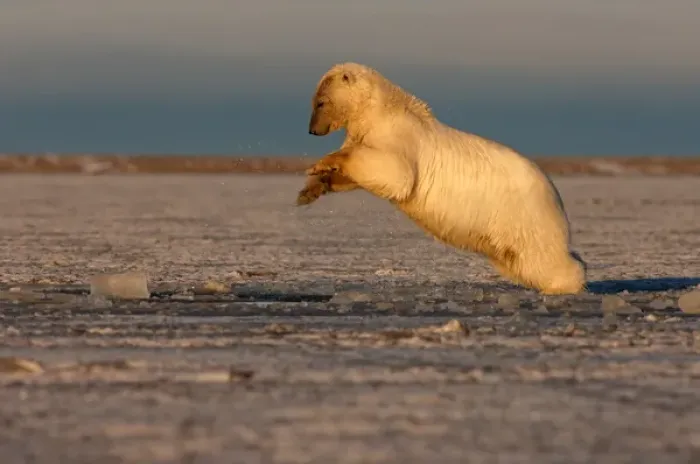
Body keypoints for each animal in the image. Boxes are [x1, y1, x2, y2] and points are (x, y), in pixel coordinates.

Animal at [296, 62, 587, 295]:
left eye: (320, 102)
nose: (312, 130)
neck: (380, 110)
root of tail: (554, 193)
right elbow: (359, 177)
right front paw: (309, 190)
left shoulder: (400, 138)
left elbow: (394, 173)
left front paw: (322, 163)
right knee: (520, 262)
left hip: (524, 216)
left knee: (544, 257)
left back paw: (568, 283)